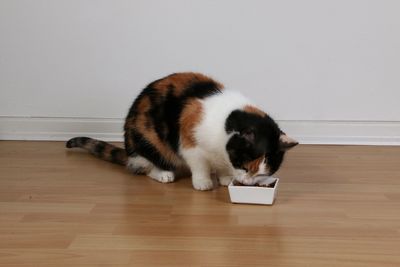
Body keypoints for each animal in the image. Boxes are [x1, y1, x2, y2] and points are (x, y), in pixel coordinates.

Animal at [66, 72, 296, 192]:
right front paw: (203, 182)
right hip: (149, 141)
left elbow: (222, 166)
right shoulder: (189, 143)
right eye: (246, 166)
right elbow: (199, 165)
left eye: (263, 173)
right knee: (144, 166)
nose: (247, 183)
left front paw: (224, 178)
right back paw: (163, 174)